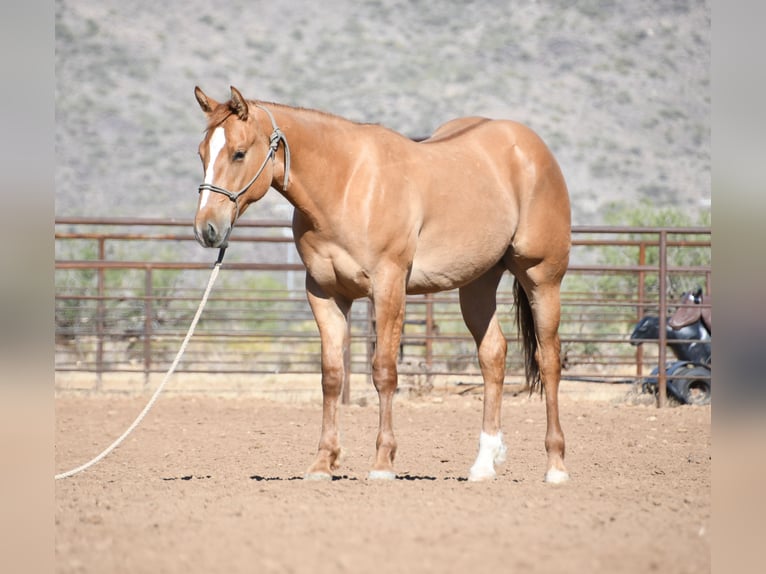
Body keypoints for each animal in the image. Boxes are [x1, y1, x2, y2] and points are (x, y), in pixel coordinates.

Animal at [192, 86, 572, 483]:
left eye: (238, 152)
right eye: (202, 153)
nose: (207, 229)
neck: (346, 185)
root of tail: (530, 146)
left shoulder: (389, 286)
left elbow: (384, 371)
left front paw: (382, 462)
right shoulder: (324, 293)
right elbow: (332, 376)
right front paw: (322, 463)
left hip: (542, 277)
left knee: (548, 360)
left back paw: (555, 466)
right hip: (478, 283)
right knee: (493, 356)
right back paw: (483, 465)